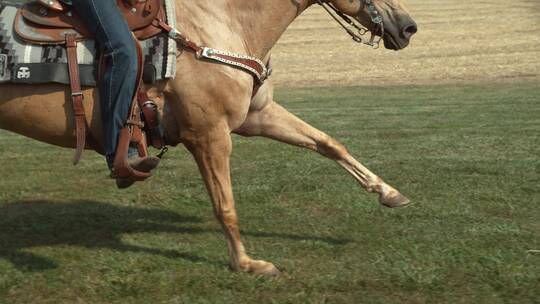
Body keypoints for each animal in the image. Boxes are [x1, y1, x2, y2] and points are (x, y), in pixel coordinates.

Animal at [0, 0, 418, 274]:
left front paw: (389, 192)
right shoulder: (209, 136)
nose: (408, 26)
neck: (223, 22)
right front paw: (247, 263)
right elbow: (225, 205)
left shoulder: (258, 116)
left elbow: (328, 143)